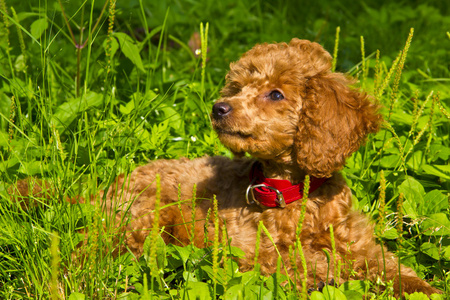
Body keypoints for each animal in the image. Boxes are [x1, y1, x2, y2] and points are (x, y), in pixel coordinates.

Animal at [12, 38, 442, 296]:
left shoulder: (361, 244)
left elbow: (389, 266)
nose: (219, 108)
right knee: (91, 249)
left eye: (275, 94)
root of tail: (104, 188)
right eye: (236, 88)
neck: (290, 193)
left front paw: (424, 288)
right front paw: (332, 273)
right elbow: (304, 264)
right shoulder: (252, 256)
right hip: (140, 216)